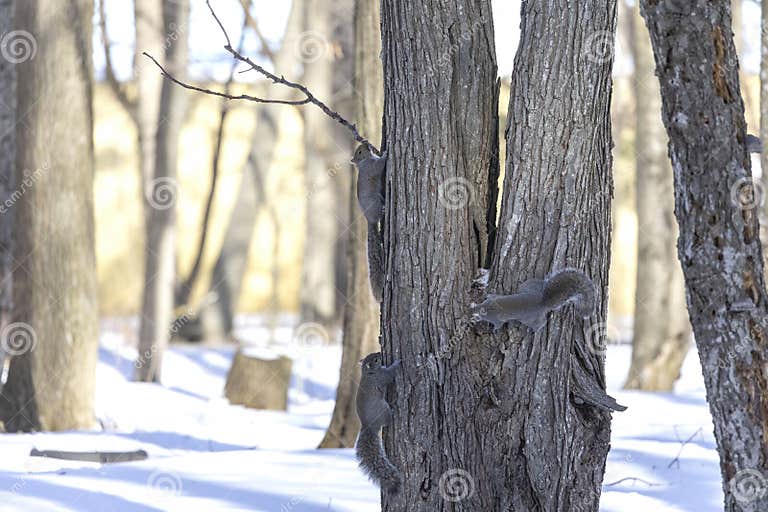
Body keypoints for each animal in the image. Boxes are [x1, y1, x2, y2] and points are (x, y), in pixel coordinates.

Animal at [355, 352, 402, 494]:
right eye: (376, 360)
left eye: (374, 356)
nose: (380, 353)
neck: (368, 372)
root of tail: (368, 426)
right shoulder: (382, 377)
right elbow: (390, 374)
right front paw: (397, 363)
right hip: (383, 408)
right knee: (387, 420)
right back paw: (394, 411)